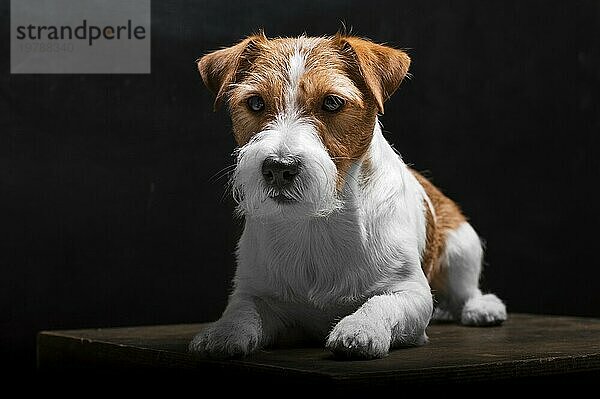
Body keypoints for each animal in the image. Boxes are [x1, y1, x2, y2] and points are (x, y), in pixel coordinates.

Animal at [189, 32, 506, 360]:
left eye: (331, 102)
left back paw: (481, 308)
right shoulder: (253, 292)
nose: (279, 167)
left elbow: (380, 303)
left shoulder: (410, 292)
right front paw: (223, 332)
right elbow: (241, 312)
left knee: (466, 291)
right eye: (255, 102)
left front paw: (360, 328)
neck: (315, 222)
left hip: (462, 248)